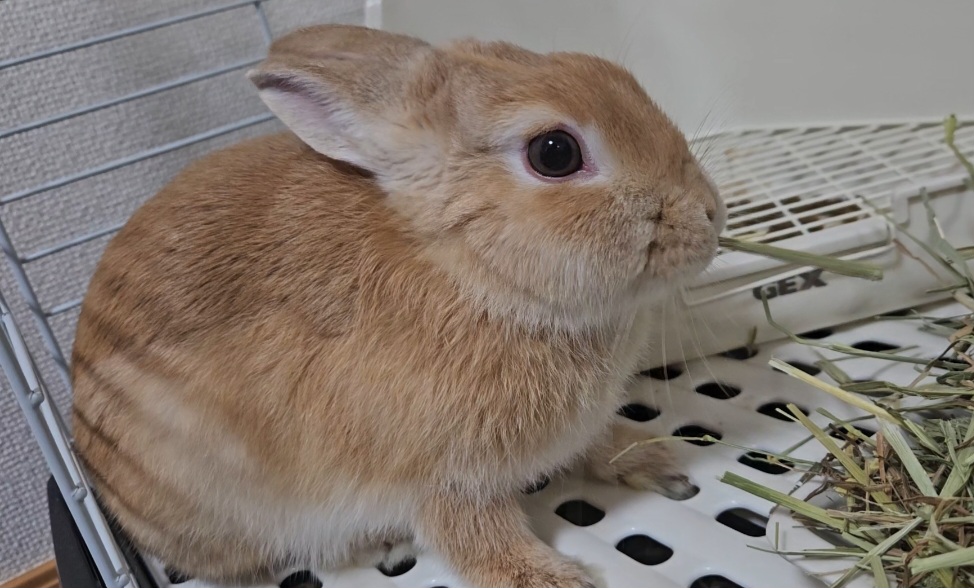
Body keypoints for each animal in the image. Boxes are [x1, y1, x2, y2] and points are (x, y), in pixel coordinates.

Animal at [70, 24, 725, 588]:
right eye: (554, 152)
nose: (710, 212)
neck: (470, 271)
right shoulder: (440, 479)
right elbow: (473, 536)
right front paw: (552, 579)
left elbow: (597, 444)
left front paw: (657, 460)